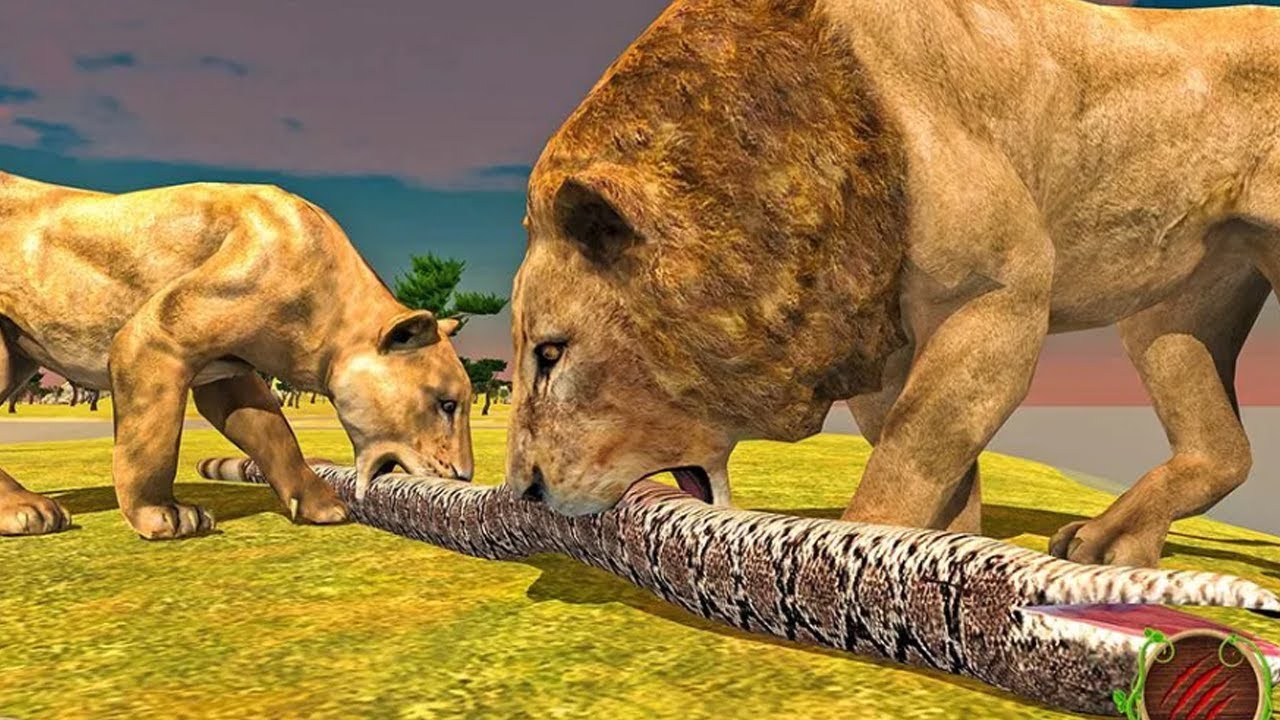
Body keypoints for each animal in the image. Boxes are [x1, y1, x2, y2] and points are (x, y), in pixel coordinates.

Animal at [0, 171, 474, 540]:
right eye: (447, 404)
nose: (466, 476)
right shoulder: (152, 339)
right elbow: (152, 441)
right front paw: (162, 514)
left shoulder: (228, 376)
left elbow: (276, 436)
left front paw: (320, 503)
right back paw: (28, 511)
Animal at [505, 0, 1280, 567]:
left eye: (551, 353)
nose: (525, 493)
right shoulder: (881, 339)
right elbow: (937, 460)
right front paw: (952, 554)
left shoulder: (1001, 292)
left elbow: (910, 453)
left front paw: (851, 561)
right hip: (1177, 308)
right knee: (1225, 450)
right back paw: (1110, 545)